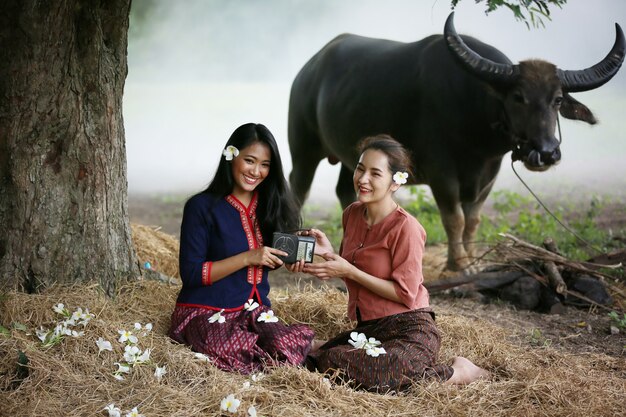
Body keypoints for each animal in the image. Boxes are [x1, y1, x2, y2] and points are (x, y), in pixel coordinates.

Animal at [288, 12, 624, 270]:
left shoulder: (489, 174)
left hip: (353, 156)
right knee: (299, 186)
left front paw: (472, 259)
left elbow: (473, 219)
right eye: (518, 97)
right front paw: (458, 264)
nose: (546, 152)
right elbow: (455, 218)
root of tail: (308, 70)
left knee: (347, 191)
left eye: (557, 100)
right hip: (303, 148)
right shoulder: (442, 172)